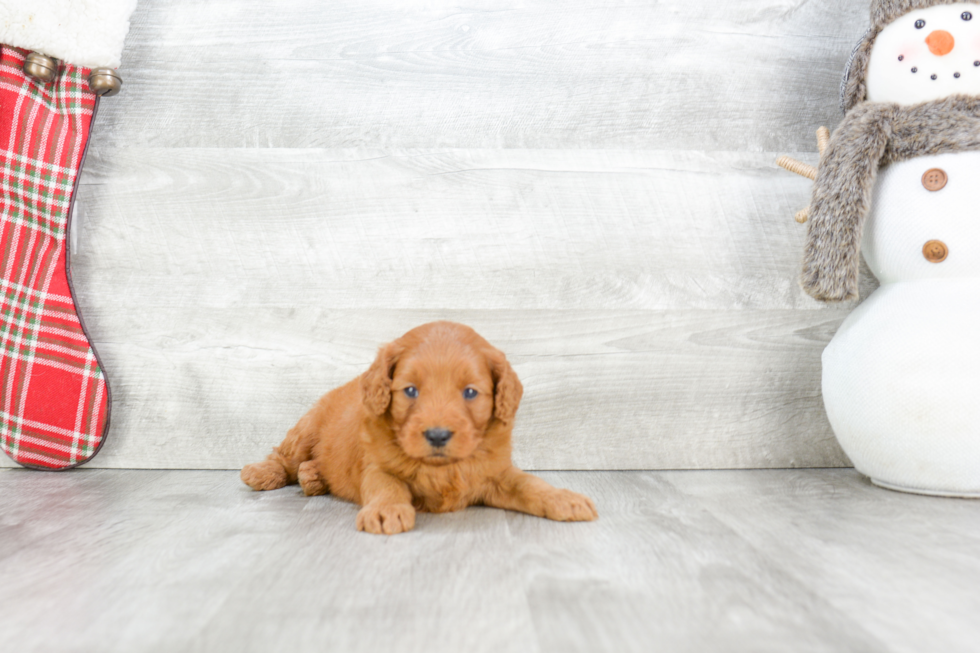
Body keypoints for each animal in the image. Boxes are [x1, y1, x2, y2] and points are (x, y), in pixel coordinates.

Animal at [243, 318, 596, 532]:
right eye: (410, 390)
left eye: (470, 392)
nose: (437, 435)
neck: (442, 468)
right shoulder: (377, 466)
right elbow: (387, 485)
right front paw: (385, 511)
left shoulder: (496, 473)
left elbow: (529, 484)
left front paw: (564, 498)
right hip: (308, 426)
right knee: (286, 456)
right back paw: (263, 472)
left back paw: (314, 476)